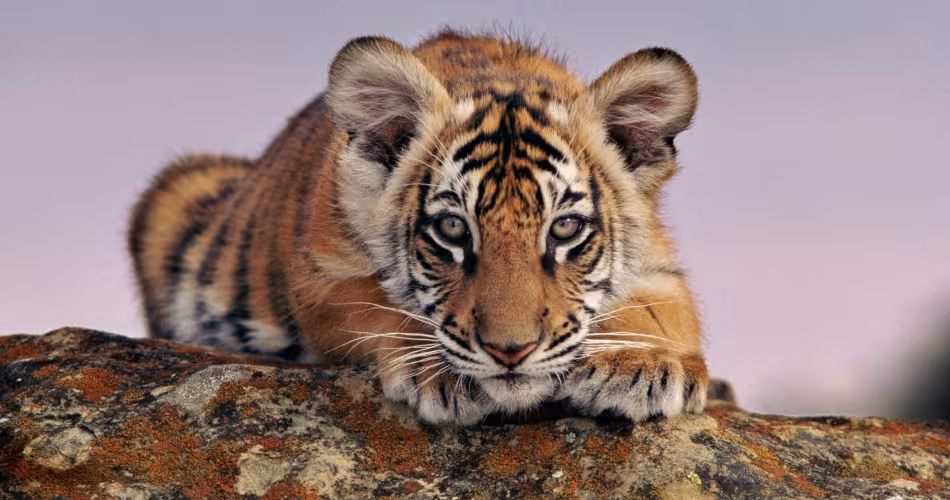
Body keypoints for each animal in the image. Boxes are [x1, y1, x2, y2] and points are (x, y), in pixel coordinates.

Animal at [128, 30, 709, 425]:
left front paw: (639, 364)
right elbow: (377, 303)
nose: (510, 353)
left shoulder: (660, 268)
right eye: (452, 229)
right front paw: (441, 371)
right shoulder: (320, 276)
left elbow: (658, 312)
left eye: (564, 229)